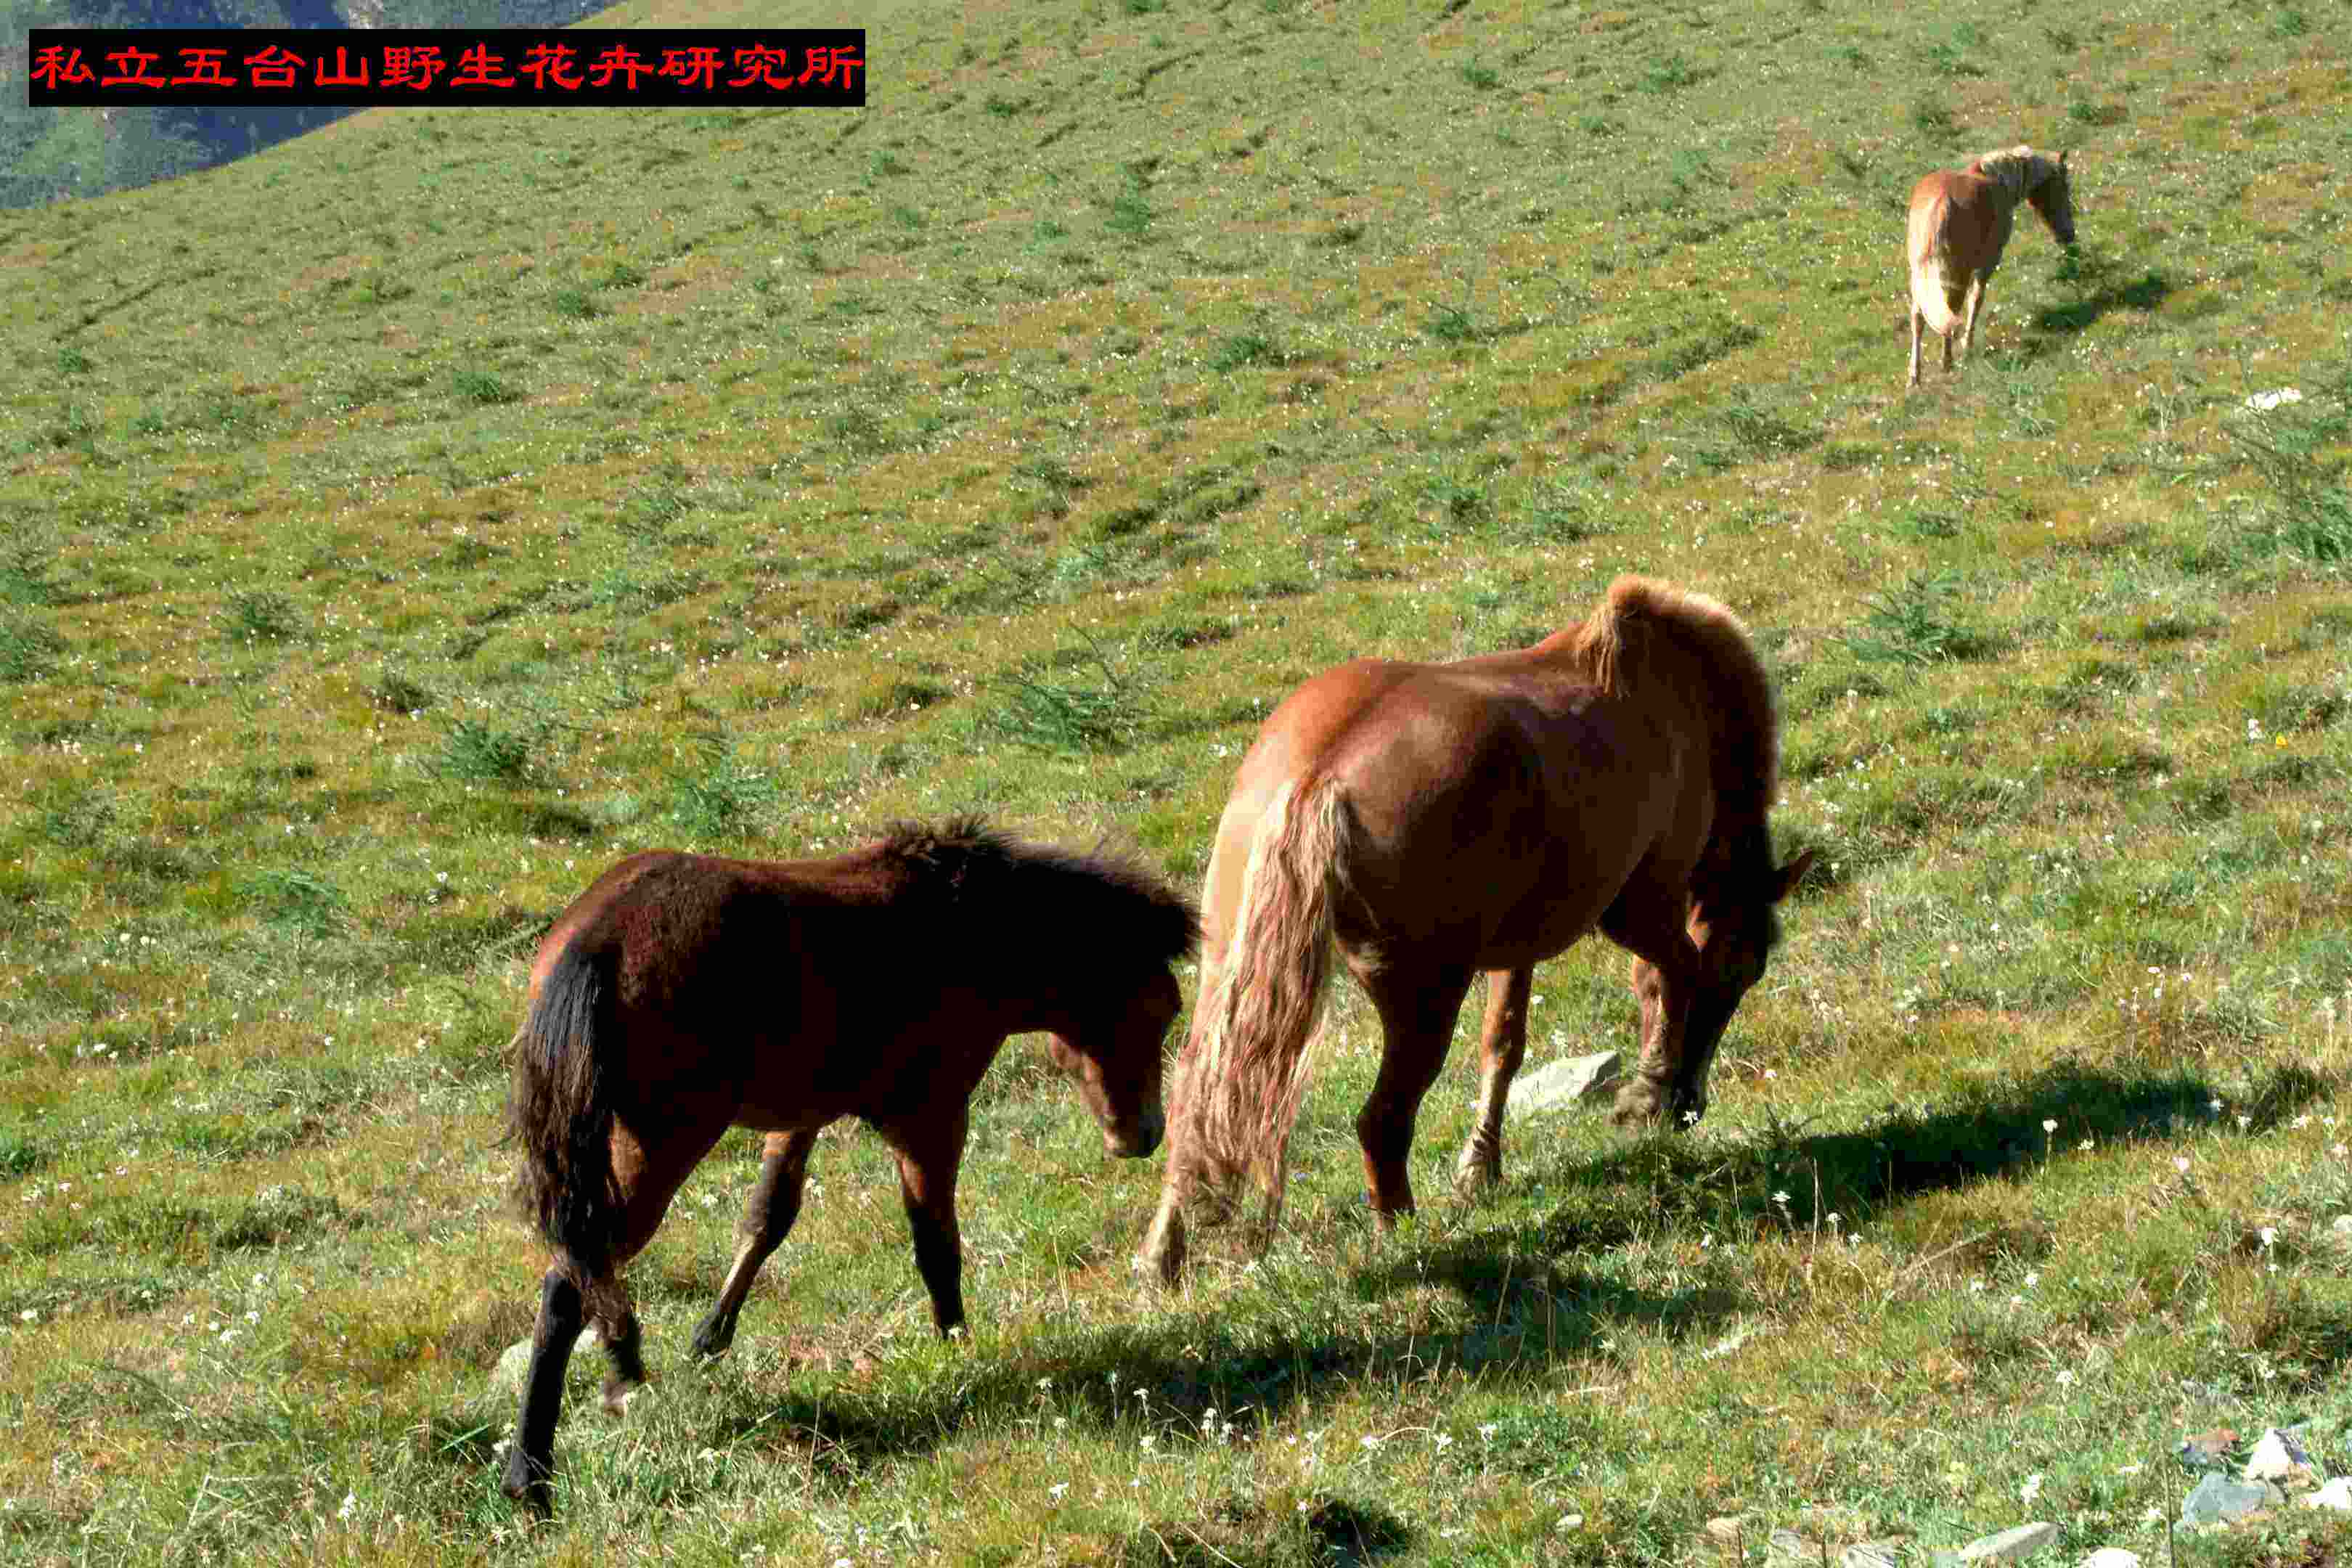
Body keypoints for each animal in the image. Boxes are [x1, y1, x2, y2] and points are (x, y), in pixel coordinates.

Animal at [496, 822, 1194, 1504]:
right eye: (1153, 1011)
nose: (1145, 1136)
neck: (964, 928)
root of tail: (597, 944)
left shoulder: (801, 1116)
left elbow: (767, 1220)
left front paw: (710, 1340)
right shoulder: (931, 1118)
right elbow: (935, 1244)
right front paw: (957, 1347)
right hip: (664, 1145)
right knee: (574, 1277)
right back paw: (534, 1472)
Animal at [1138, 576, 1816, 1288]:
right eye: (1741, 973)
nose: (1692, 1106)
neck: (1676, 692)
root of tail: (1319, 774)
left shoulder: (1517, 947)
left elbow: (1504, 1046)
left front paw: (1479, 1169)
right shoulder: (1640, 906)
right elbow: (1673, 974)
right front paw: (1646, 1095)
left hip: (1231, 973)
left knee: (1198, 1103)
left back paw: (1161, 1257)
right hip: (1425, 998)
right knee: (1381, 1122)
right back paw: (1404, 1239)